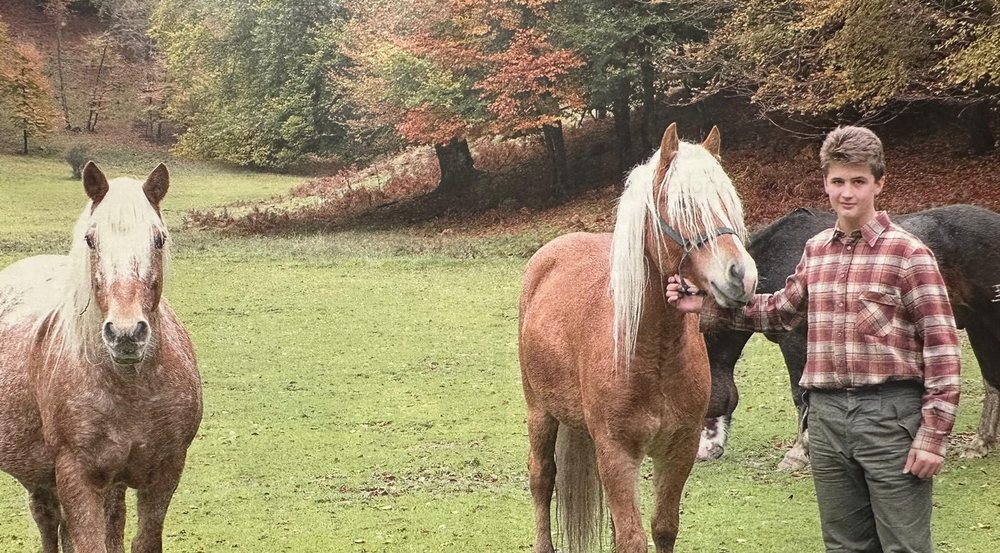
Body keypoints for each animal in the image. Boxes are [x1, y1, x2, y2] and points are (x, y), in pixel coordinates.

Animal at [0, 162, 202, 553]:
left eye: (159, 239)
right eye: (90, 239)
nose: (126, 334)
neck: (131, 389)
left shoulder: (166, 472)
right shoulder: (76, 476)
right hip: (42, 477)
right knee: (48, 523)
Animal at [518, 123, 758, 553]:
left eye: (728, 204)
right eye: (682, 207)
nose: (741, 275)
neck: (653, 354)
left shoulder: (679, 449)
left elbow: (662, 528)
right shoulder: (615, 452)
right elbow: (632, 539)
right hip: (540, 413)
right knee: (542, 480)